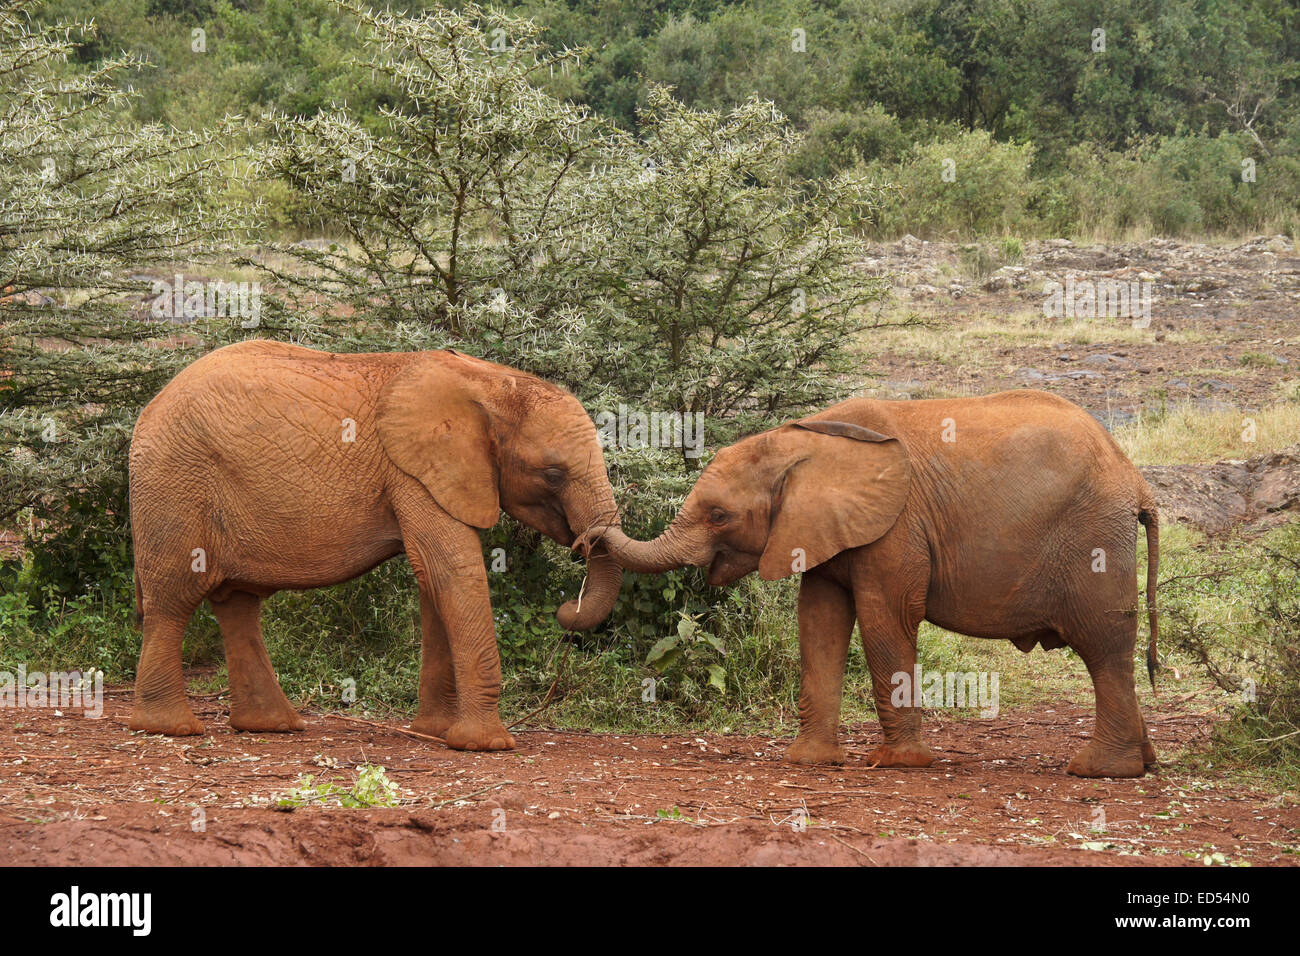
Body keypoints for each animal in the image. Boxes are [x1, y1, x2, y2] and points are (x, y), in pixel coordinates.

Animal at [128, 340, 622, 751]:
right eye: (553, 474)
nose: (567, 607)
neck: (490, 381)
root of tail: (151, 405)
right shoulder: (414, 471)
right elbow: (452, 571)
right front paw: (487, 745)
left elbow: (431, 580)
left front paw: (434, 734)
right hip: (175, 482)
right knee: (174, 599)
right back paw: (171, 728)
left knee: (238, 604)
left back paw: (272, 726)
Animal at [593, 390, 1161, 778]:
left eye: (718, 516)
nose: (587, 536)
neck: (806, 441)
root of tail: (1136, 480)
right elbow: (820, 622)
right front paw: (809, 761)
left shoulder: (896, 526)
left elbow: (885, 617)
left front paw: (896, 763)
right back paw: (1144, 762)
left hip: (1093, 538)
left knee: (1103, 645)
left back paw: (1098, 769)